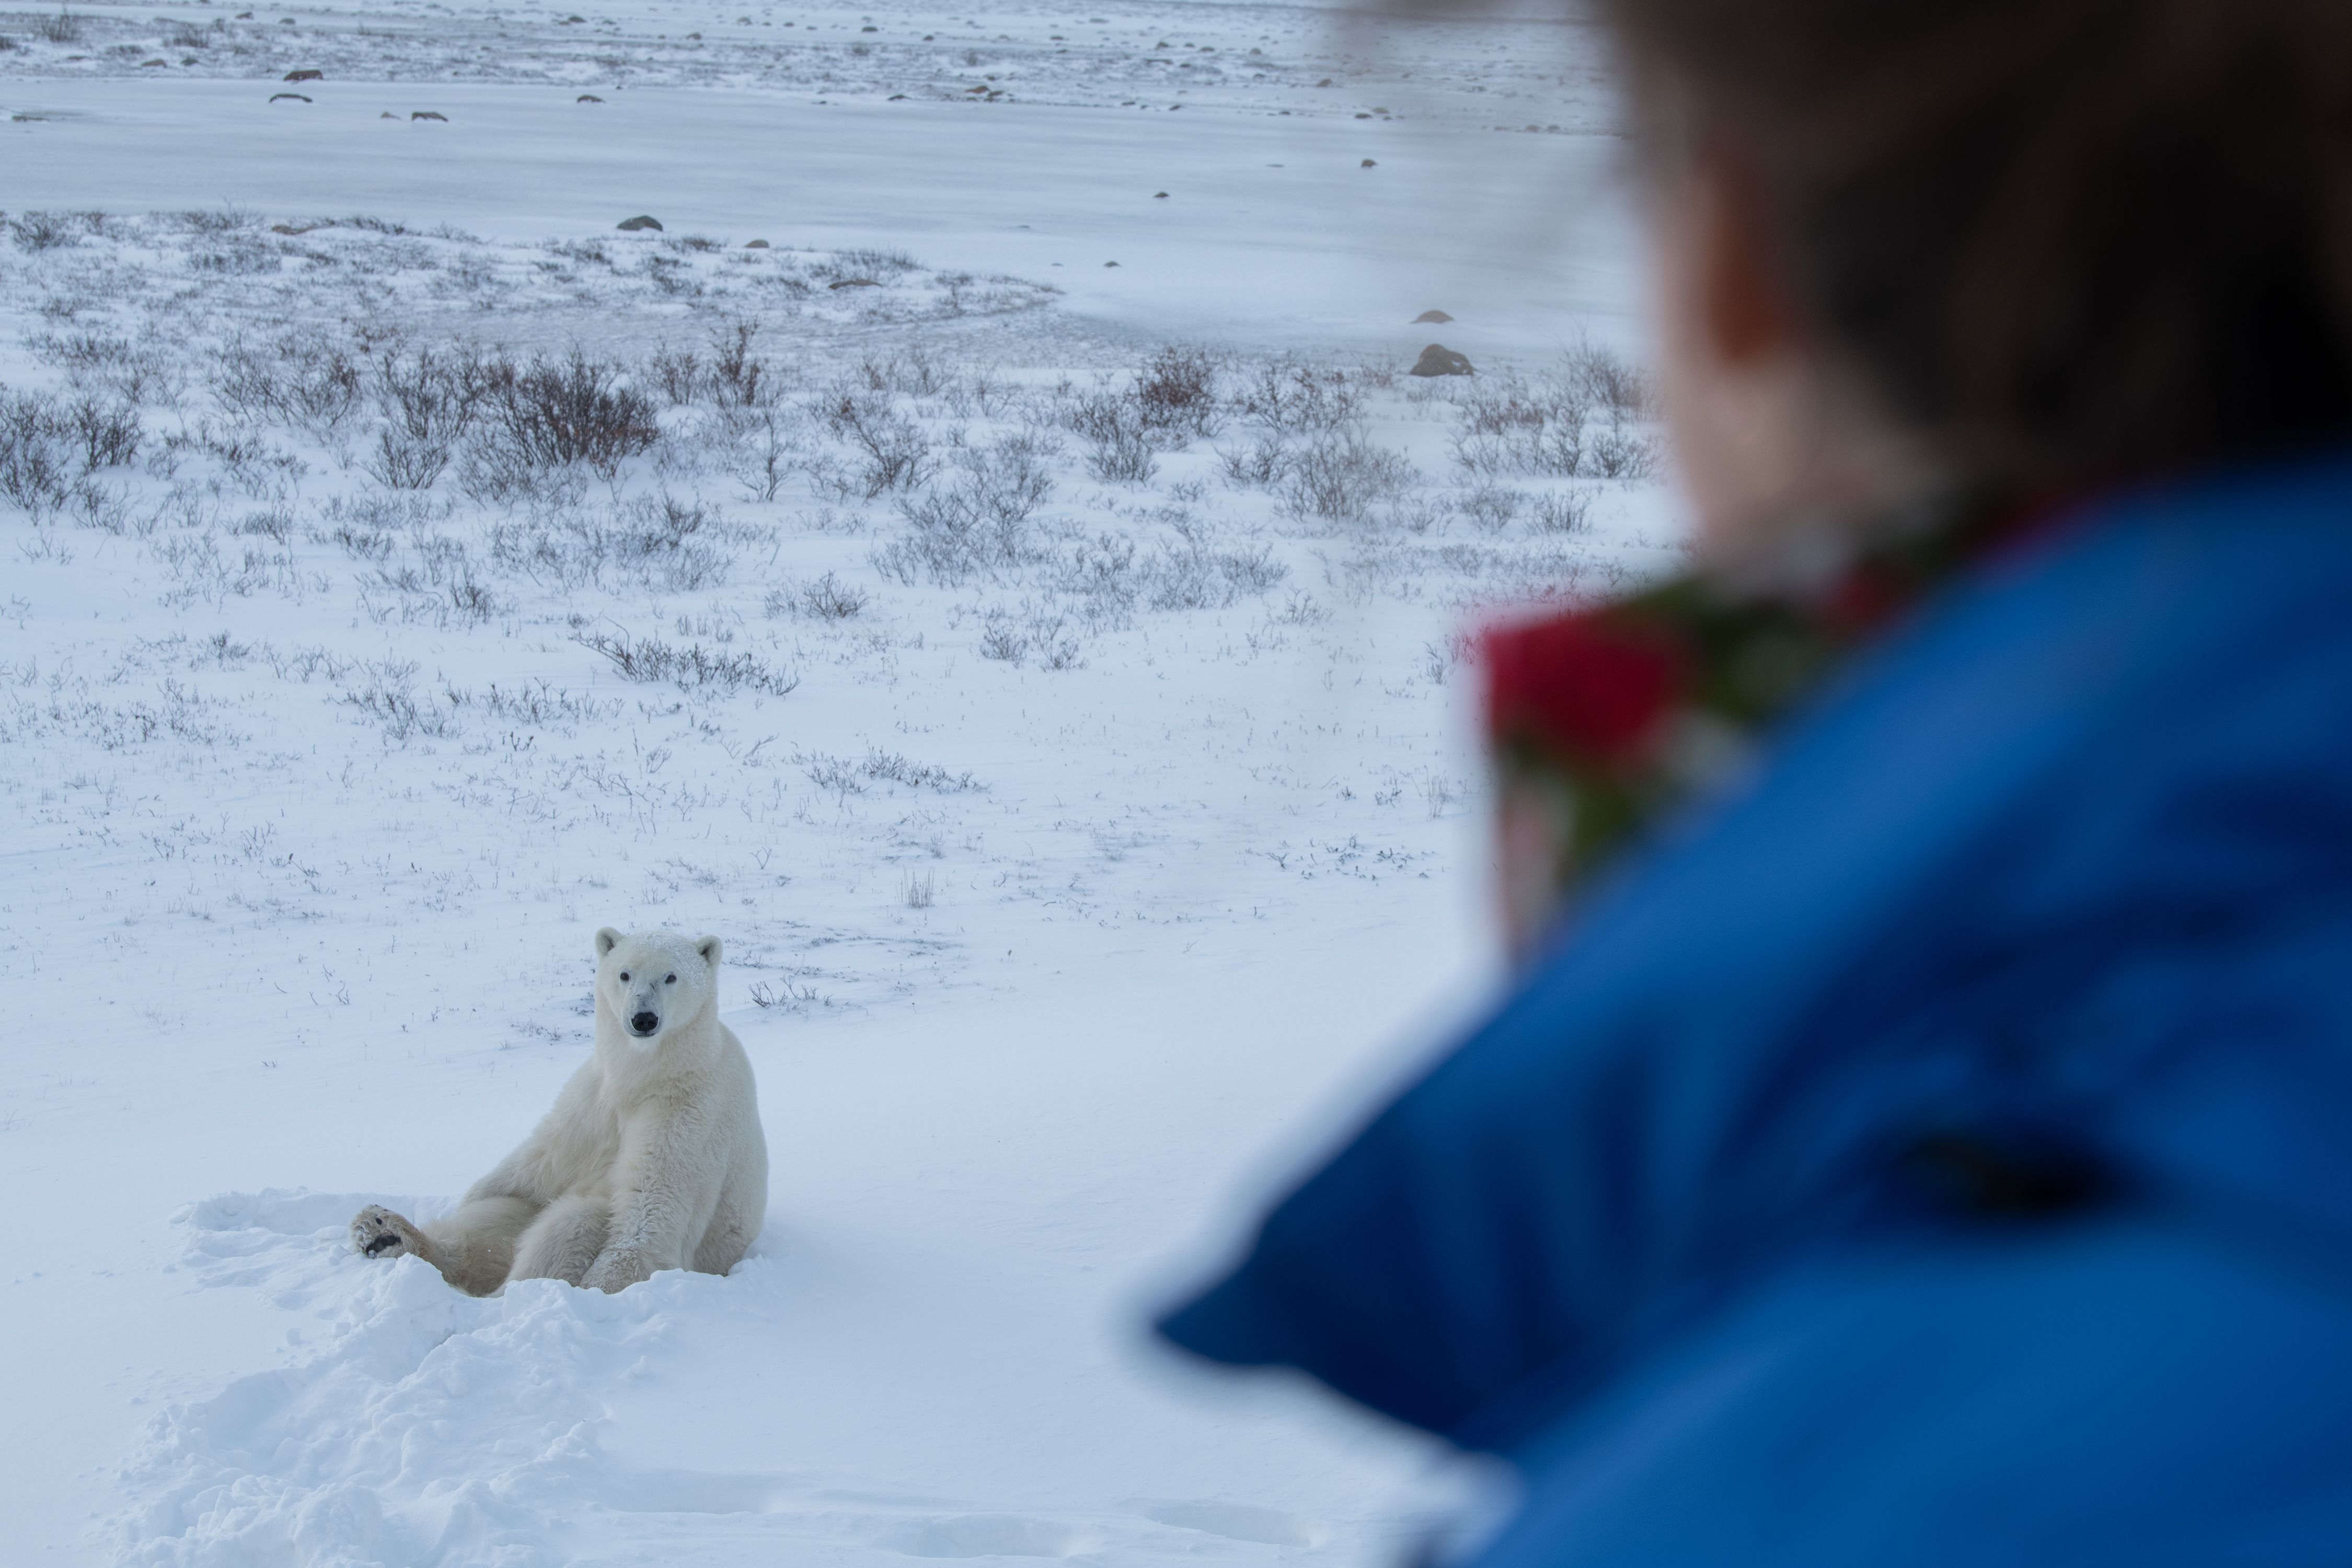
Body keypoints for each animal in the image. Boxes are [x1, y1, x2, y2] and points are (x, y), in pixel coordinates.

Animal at [350, 928, 767, 1295]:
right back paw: (385, 1230)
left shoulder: (688, 1111)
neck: (646, 1076)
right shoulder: (593, 1100)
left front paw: (598, 1290)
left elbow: (651, 1208)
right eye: (624, 973)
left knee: (571, 1225)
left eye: (671, 976)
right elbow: (542, 1162)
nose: (643, 1018)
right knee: (496, 1221)